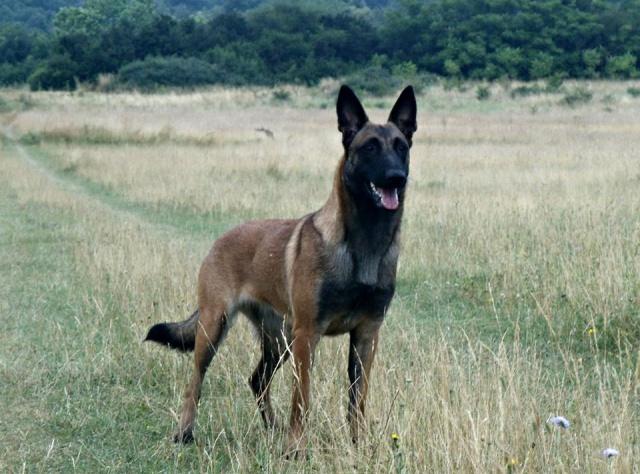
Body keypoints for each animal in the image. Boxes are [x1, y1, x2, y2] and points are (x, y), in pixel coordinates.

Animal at [146, 86, 420, 456]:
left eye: (401, 147)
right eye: (369, 148)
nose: (396, 177)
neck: (362, 244)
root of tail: (221, 238)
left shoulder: (366, 335)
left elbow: (357, 400)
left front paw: (358, 445)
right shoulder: (308, 334)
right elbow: (301, 397)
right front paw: (295, 449)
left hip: (279, 341)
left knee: (257, 379)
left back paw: (272, 428)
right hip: (215, 328)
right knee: (195, 383)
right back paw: (185, 432)